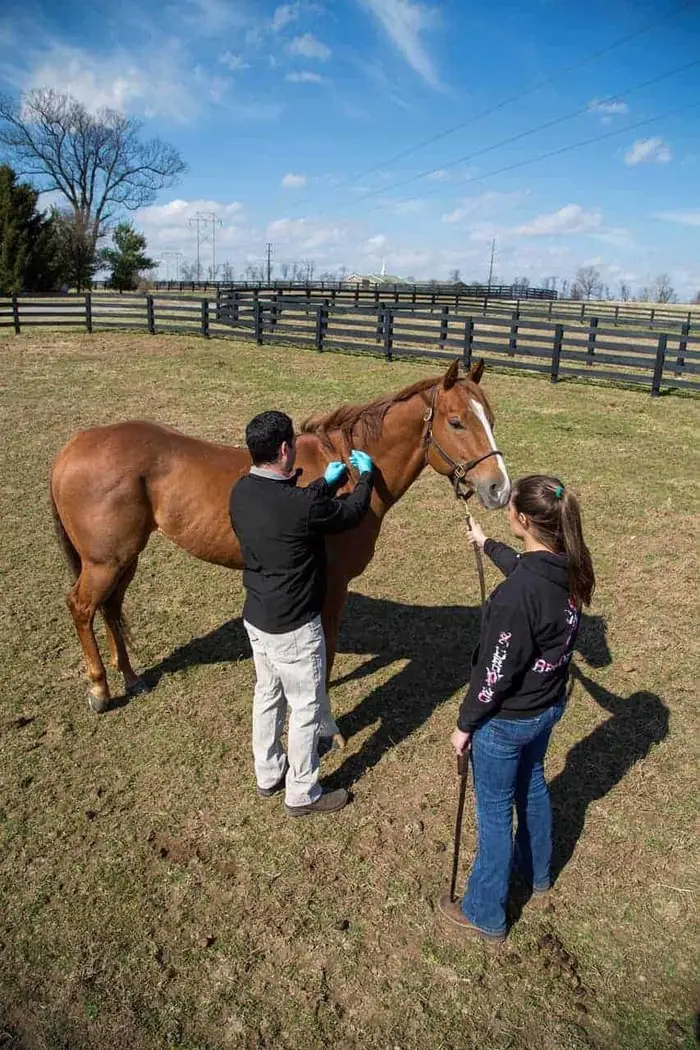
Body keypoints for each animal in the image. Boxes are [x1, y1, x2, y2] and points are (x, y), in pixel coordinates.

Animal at [49, 356, 510, 726]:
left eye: (490, 419)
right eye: (456, 422)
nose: (499, 489)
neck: (348, 473)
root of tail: (73, 447)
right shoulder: (333, 586)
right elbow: (325, 649)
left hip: (125, 559)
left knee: (111, 608)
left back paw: (131, 677)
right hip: (104, 562)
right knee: (81, 607)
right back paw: (100, 690)